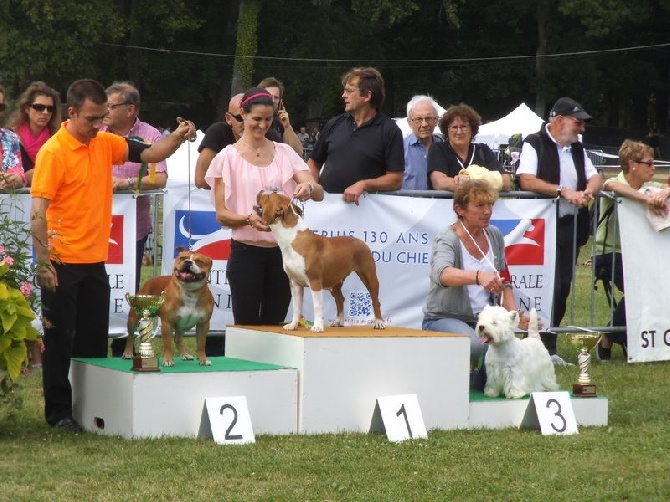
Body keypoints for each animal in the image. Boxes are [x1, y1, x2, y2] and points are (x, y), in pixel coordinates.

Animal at [256, 192, 386, 334]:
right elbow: (296, 307)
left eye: (268, 196)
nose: (261, 192)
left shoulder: (315, 281)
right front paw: (293, 325)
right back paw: (338, 321)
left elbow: (317, 306)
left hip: (369, 276)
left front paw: (318, 326)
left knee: (375, 300)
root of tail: (362, 242)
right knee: (340, 299)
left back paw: (379, 323)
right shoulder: (295, 283)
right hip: (335, 281)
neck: (291, 237)